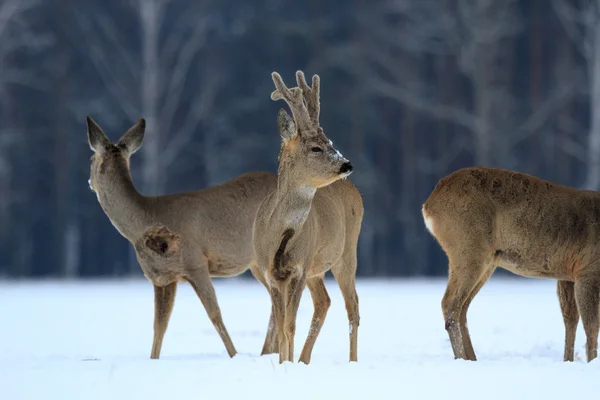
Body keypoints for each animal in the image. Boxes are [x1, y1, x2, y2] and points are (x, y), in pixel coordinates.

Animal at [86, 115, 278, 360]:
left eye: (91, 158)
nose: (89, 182)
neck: (144, 223)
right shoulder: (162, 277)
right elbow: (159, 325)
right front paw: (153, 359)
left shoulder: (196, 262)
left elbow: (215, 314)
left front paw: (234, 355)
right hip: (257, 263)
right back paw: (268, 352)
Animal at [252, 70, 364, 364]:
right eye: (316, 148)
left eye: (331, 142)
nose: (347, 164)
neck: (280, 234)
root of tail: (353, 189)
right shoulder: (271, 272)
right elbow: (281, 326)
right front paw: (284, 362)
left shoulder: (299, 268)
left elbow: (290, 325)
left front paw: (288, 364)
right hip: (318, 267)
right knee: (324, 302)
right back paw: (304, 359)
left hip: (347, 251)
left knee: (353, 305)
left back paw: (352, 361)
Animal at [422, 166, 600, 362]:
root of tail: (429, 203)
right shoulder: (588, 269)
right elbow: (591, 326)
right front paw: (592, 361)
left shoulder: (567, 274)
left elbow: (570, 320)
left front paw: (567, 361)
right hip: (468, 248)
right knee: (450, 304)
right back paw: (462, 358)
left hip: (486, 260)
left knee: (463, 308)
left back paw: (471, 358)